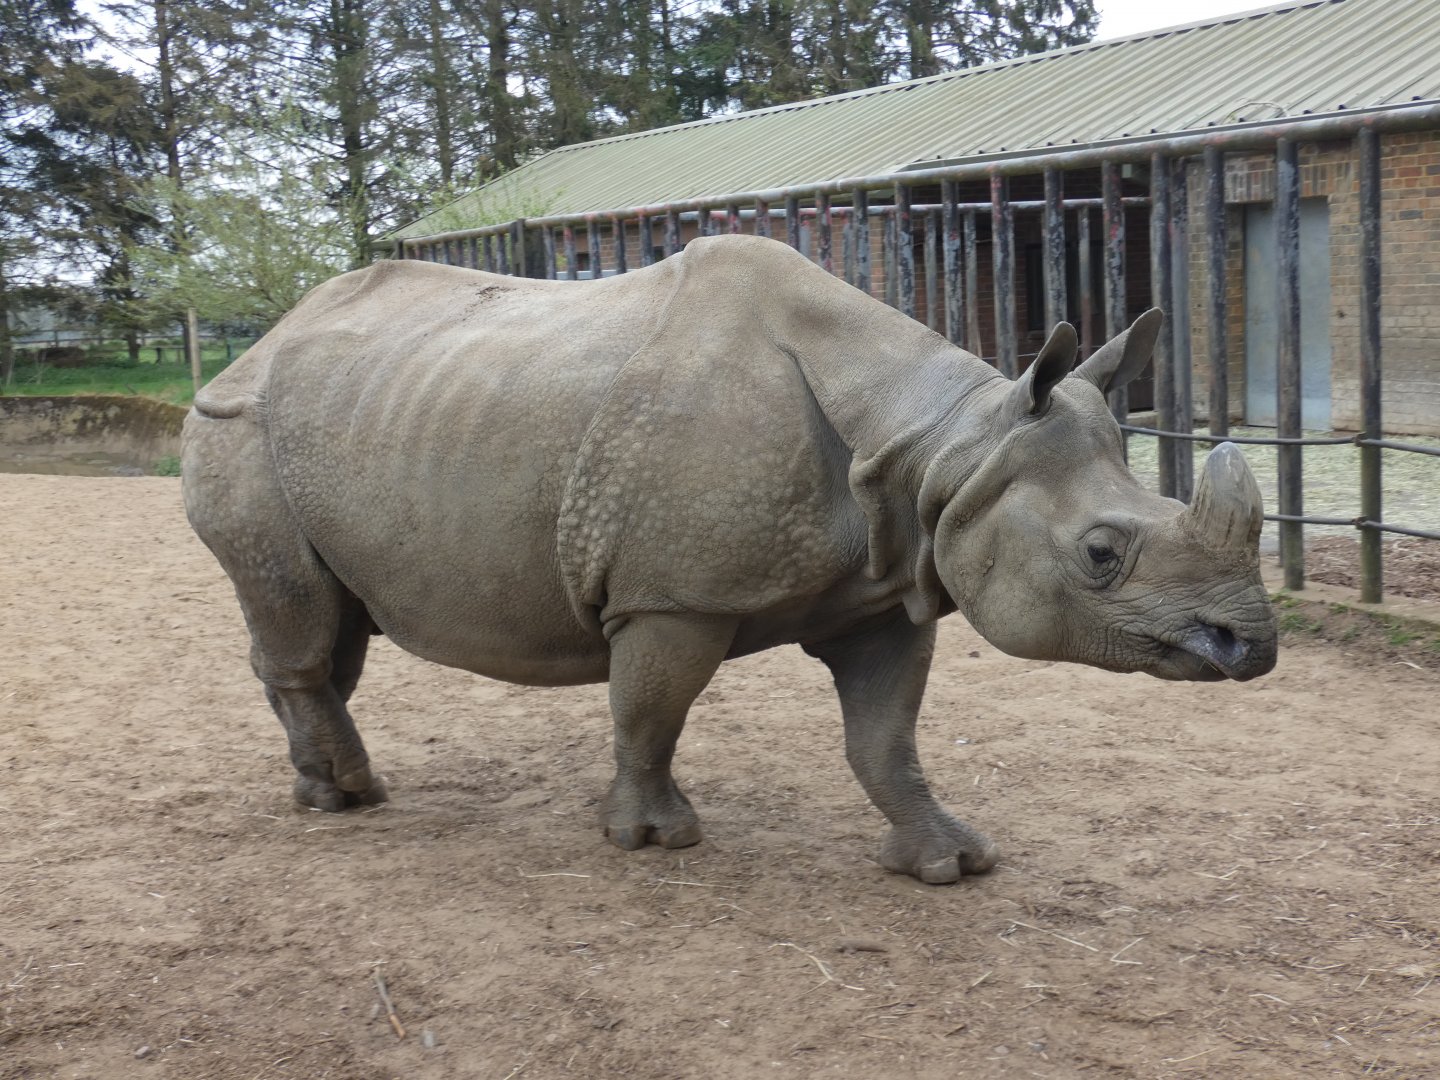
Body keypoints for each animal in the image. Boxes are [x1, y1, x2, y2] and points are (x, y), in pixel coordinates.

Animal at [183, 234, 1276, 883]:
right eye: (1102, 553)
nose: (1252, 645)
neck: (942, 445)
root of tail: (257, 341)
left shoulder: (887, 586)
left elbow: (887, 738)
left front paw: (949, 863)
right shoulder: (670, 595)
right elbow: (649, 710)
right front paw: (653, 841)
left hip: (352, 424)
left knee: (330, 622)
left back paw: (327, 787)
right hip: (241, 427)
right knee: (298, 614)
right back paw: (348, 801)